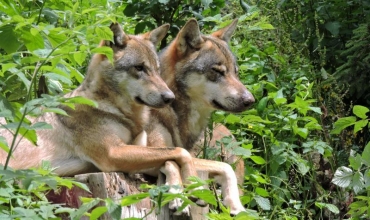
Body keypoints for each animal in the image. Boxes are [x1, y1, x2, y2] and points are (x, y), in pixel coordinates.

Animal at [146, 18, 256, 216]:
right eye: (217, 71)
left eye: (235, 72)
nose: (250, 100)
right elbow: (172, 161)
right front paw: (176, 194)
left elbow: (225, 169)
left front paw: (235, 205)